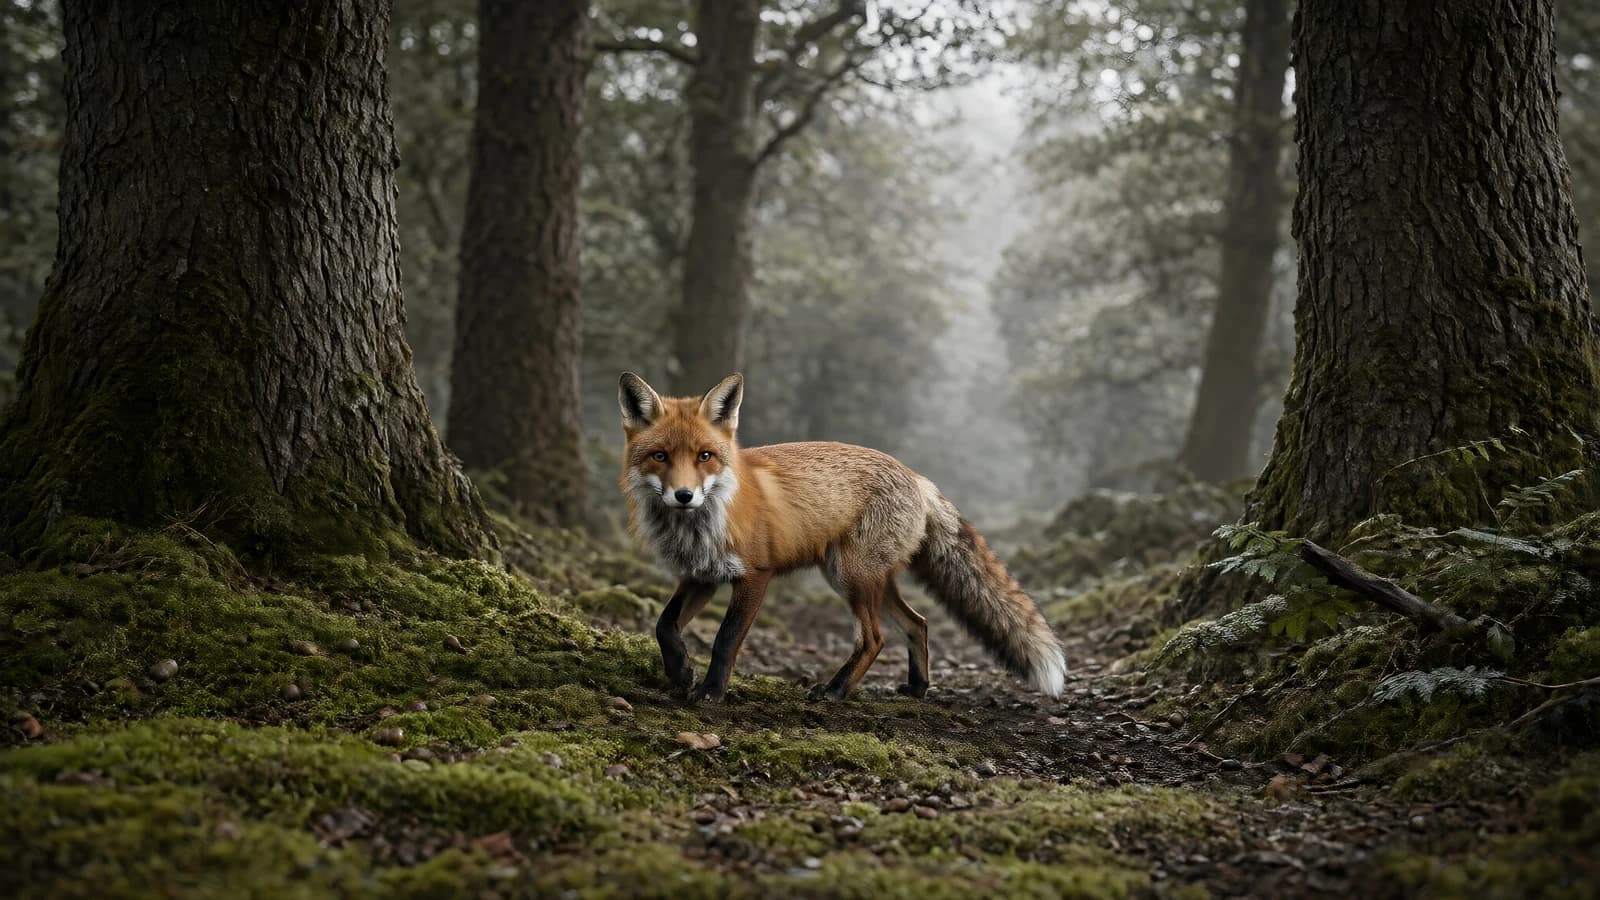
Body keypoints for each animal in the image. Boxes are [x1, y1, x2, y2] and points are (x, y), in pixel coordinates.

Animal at [618, 371, 1066, 704]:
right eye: (660, 456)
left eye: (705, 457)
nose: (684, 495)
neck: (700, 525)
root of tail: (916, 477)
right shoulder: (701, 577)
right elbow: (664, 625)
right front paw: (680, 673)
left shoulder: (755, 574)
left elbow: (725, 639)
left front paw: (711, 692)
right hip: (862, 579)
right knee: (917, 624)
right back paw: (916, 688)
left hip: (851, 577)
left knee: (874, 638)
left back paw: (836, 690)